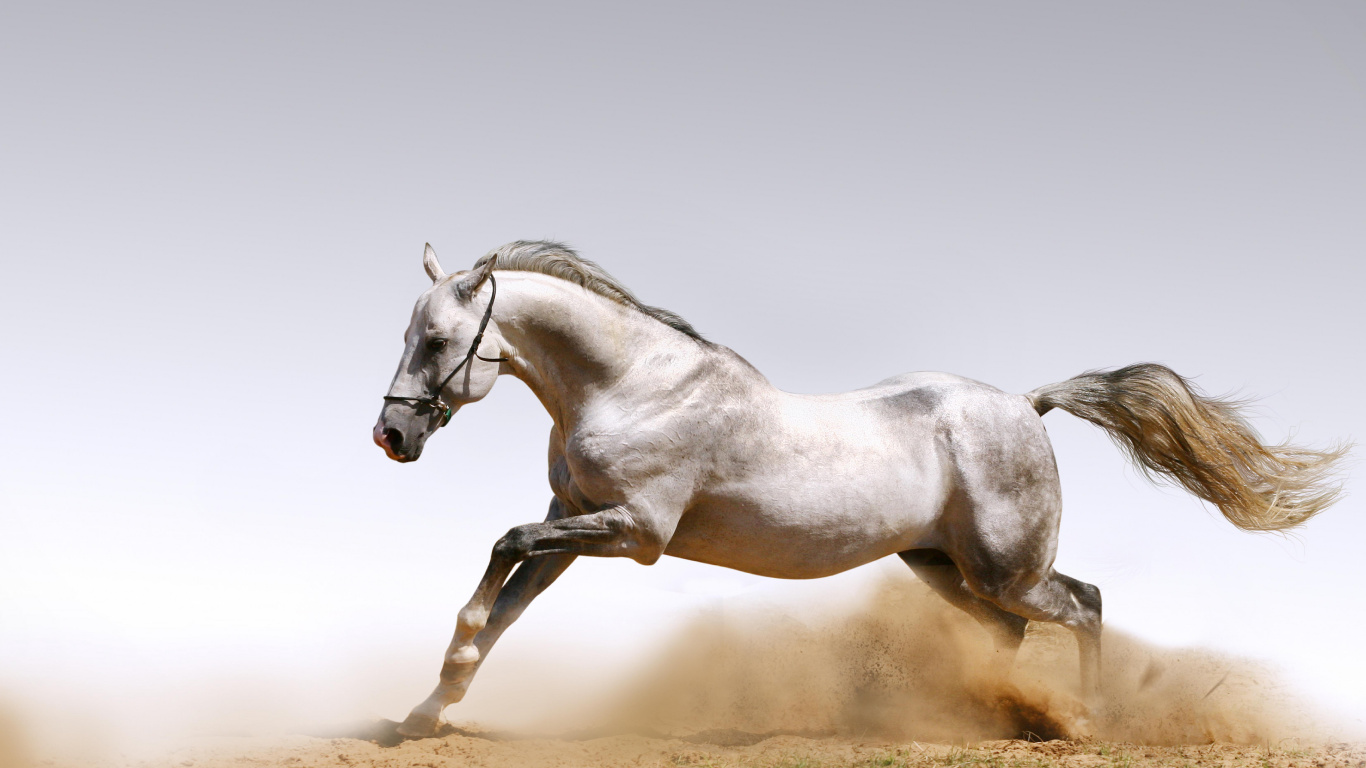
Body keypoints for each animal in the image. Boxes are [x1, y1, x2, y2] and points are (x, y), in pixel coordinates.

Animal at [373, 240, 1346, 738]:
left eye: (438, 341)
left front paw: (437, 688)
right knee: (1011, 632)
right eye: (412, 334)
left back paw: (1086, 721)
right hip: (941, 566)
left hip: (1007, 567)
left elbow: (500, 552)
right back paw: (986, 717)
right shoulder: (574, 519)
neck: (633, 385)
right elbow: (505, 606)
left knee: (1085, 604)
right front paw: (425, 711)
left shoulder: (633, 532)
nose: (391, 436)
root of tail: (1027, 404)